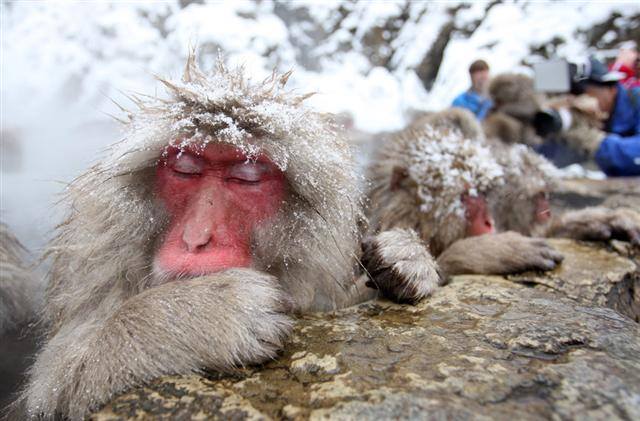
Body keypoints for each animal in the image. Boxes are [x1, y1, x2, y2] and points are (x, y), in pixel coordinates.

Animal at [18, 55, 430, 416]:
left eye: (246, 177)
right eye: (185, 169)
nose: (197, 238)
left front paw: (405, 258)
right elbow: (53, 389)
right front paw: (204, 314)